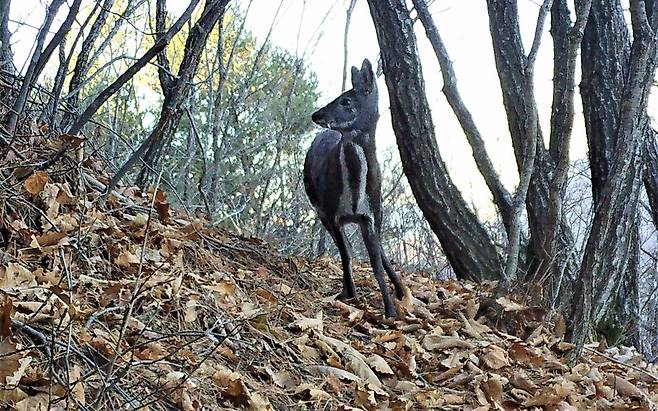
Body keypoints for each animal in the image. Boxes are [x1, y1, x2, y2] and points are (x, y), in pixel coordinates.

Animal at [304, 58, 404, 318]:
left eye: (346, 100)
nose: (316, 115)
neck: (354, 196)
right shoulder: (331, 212)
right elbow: (346, 254)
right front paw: (349, 294)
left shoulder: (371, 215)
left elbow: (376, 263)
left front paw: (391, 311)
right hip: (319, 208)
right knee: (346, 247)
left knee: (380, 249)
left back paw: (401, 291)